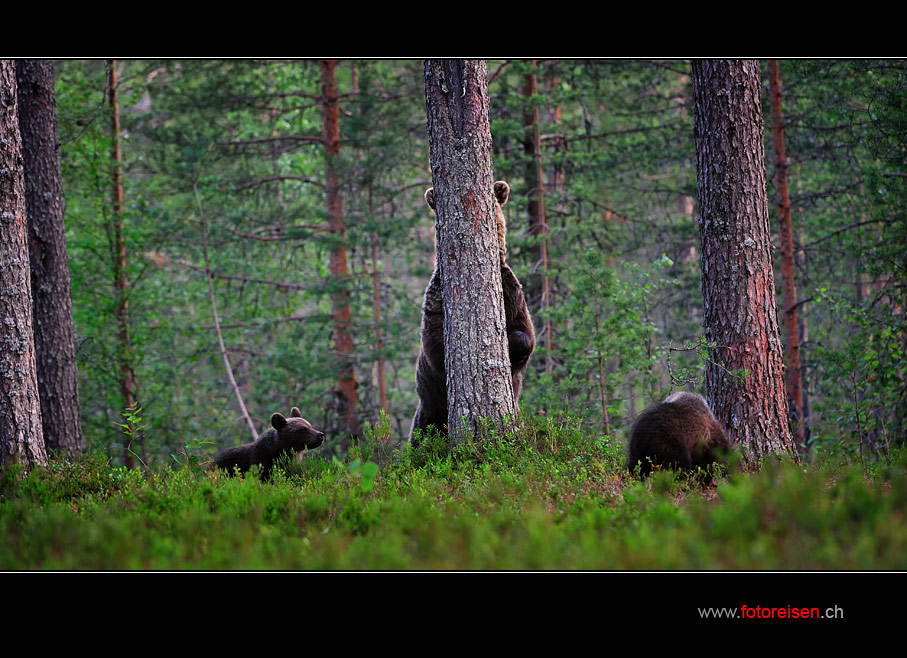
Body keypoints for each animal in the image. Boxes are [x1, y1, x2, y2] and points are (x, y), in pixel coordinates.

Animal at [410, 182, 532, 444]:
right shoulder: (437, 299)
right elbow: (436, 346)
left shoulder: (510, 295)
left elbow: (525, 335)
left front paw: (507, 344)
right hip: (428, 412)